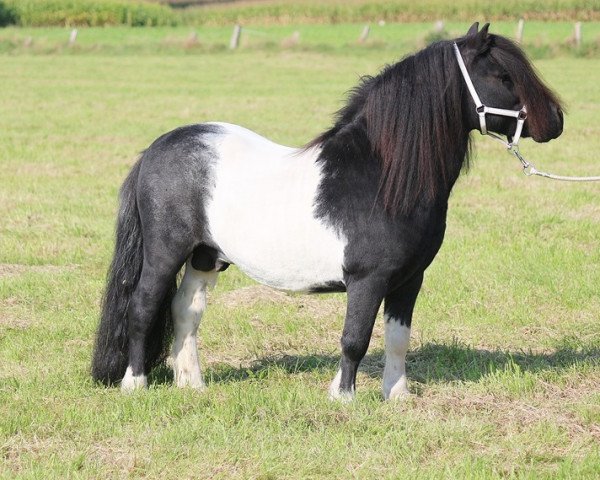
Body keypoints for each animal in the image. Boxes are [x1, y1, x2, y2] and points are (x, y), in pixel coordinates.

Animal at [91, 22, 564, 400]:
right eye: (503, 75)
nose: (556, 120)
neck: (381, 176)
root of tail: (156, 149)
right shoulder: (367, 280)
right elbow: (355, 338)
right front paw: (343, 397)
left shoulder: (409, 280)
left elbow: (397, 338)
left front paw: (397, 396)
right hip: (164, 253)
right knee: (143, 307)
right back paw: (135, 385)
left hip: (205, 257)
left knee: (185, 311)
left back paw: (192, 384)